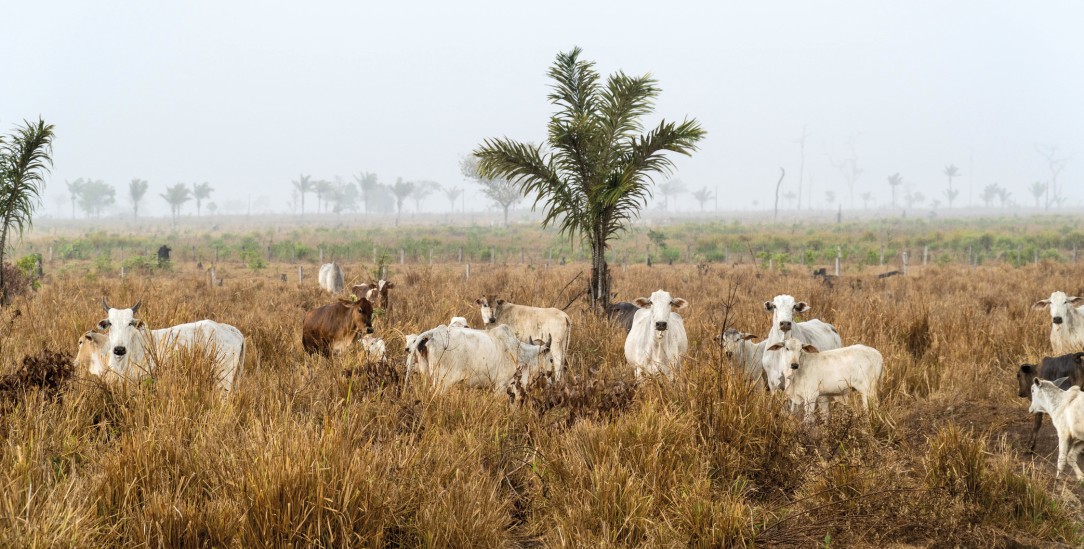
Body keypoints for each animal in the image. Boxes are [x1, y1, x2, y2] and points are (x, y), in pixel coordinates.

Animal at [407, 321, 559, 399]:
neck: (520, 353)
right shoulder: (500, 386)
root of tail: (432, 334)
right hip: (442, 382)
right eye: (551, 359)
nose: (552, 383)